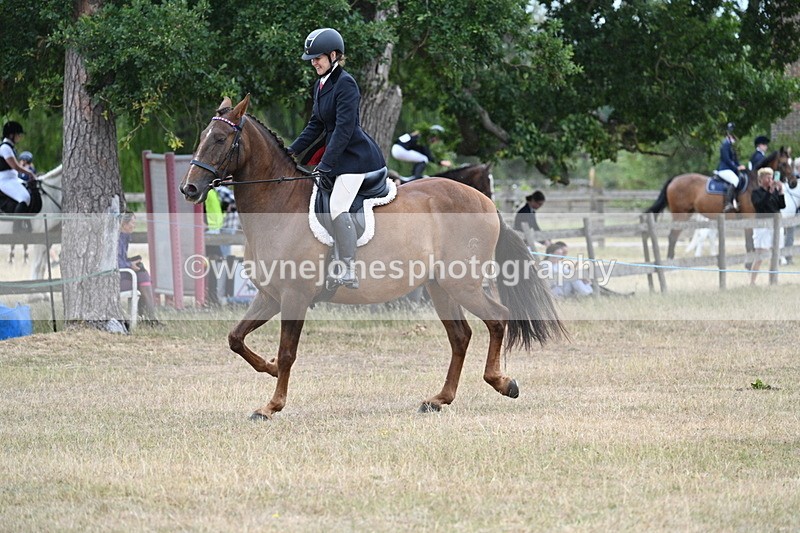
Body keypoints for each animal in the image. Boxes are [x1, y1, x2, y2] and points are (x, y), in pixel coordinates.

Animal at [179, 95, 565, 420]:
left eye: (219, 139)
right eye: (203, 136)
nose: (189, 189)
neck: (278, 204)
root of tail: (484, 202)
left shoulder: (294, 296)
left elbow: (288, 352)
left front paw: (271, 405)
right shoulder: (270, 296)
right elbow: (236, 338)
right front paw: (269, 367)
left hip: (463, 284)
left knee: (497, 319)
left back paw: (502, 382)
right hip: (440, 286)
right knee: (461, 336)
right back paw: (439, 399)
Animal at [645, 148, 793, 259]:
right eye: (784, 163)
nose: (794, 182)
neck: (754, 183)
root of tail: (674, 179)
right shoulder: (749, 217)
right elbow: (749, 242)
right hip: (681, 215)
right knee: (672, 237)